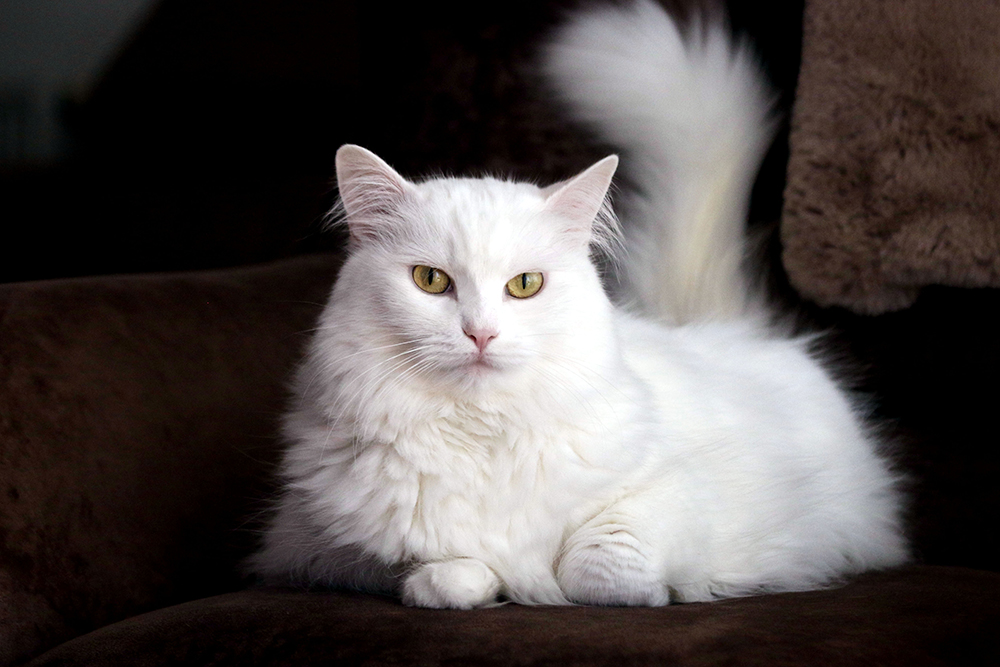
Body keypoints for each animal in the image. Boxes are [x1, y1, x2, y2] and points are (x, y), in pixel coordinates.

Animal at [250, 0, 908, 612]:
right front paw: (468, 584)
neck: (481, 436)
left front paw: (660, 592)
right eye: (431, 280)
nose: (480, 334)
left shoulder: (683, 493)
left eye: (524, 286)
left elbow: (597, 565)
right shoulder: (311, 547)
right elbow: (440, 568)